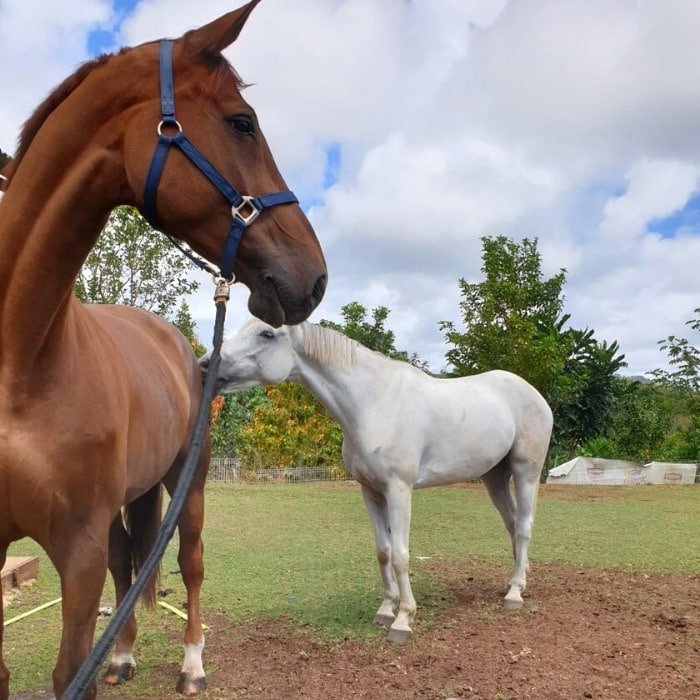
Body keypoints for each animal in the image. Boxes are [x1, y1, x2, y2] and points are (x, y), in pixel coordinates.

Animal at [0, 2, 328, 696]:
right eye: (242, 122)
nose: (314, 277)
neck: (21, 362)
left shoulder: (77, 551)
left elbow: (72, 672)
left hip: (189, 486)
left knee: (190, 562)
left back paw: (192, 663)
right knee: (129, 564)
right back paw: (123, 653)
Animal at [201, 320, 552, 644]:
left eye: (266, 334)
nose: (206, 365)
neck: (374, 402)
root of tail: (535, 395)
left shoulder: (399, 490)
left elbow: (400, 554)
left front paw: (404, 619)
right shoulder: (370, 491)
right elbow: (383, 551)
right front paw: (385, 610)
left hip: (526, 471)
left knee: (524, 526)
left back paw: (515, 593)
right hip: (495, 476)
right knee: (512, 524)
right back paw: (512, 581)